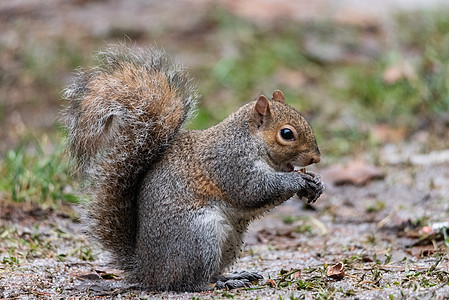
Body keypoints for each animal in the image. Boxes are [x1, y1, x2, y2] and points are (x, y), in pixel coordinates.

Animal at [62, 44, 322, 290]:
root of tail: (147, 271)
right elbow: (254, 190)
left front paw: (315, 183)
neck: (248, 140)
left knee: (209, 271)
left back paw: (234, 276)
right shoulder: (230, 164)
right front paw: (297, 181)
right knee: (187, 281)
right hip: (199, 237)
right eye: (286, 134)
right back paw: (219, 284)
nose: (316, 158)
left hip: (230, 240)